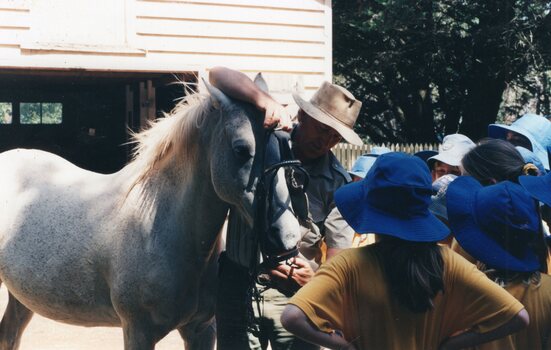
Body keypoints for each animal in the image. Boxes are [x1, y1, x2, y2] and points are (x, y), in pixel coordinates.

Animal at [0, 80, 302, 348]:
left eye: (284, 146)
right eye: (241, 149)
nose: (287, 236)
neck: (160, 225)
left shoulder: (201, 330)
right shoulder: (138, 331)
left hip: (21, 297)